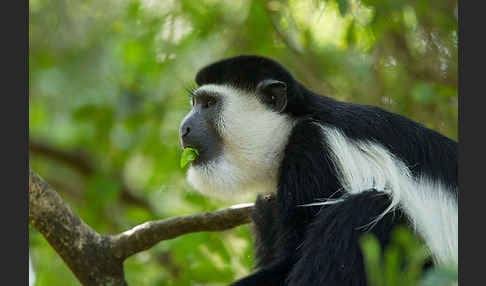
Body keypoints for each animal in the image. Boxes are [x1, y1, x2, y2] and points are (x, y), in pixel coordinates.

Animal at [178, 54, 456, 284]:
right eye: (195, 102)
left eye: (209, 103)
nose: (184, 128)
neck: (291, 126)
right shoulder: (268, 203)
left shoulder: (314, 148)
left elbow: (290, 259)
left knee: (367, 207)